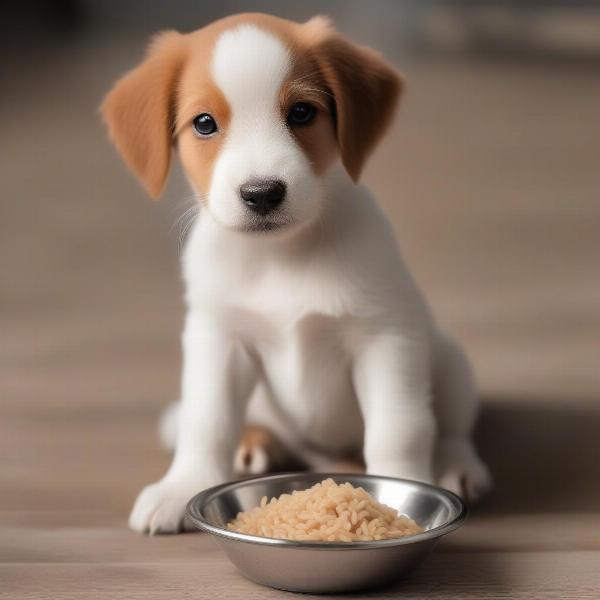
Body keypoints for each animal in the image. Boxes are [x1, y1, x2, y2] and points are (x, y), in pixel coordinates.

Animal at [101, 12, 490, 536]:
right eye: (204, 123)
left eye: (302, 113)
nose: (262, 193)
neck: (279, 256)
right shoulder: (218, 339)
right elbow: (205, 422)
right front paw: (182, 486)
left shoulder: (385, 338)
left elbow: (399, 428)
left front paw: (403, 495)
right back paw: (254, 444)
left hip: (448, 360)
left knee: (450, 428)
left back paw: (458, 465)